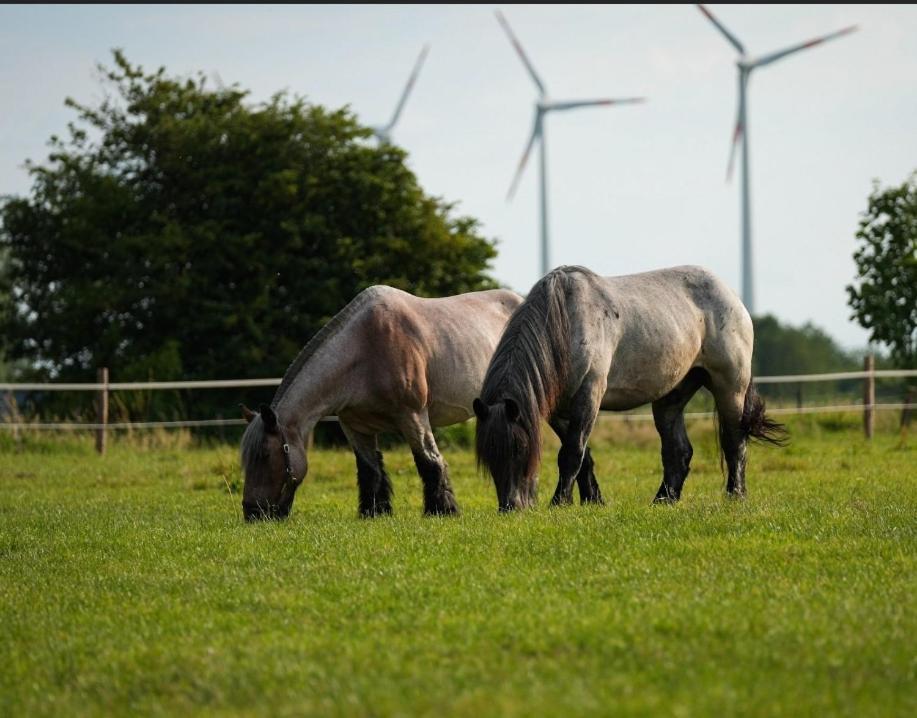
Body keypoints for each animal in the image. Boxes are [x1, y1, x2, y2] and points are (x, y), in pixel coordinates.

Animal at [238, 286, 524, 524]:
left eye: (265, 455)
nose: (252, 513)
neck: (365, 349)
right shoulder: (355, 426)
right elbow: (369, 470)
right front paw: (374, 512)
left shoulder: (413, 416)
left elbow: (429, 461)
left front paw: (442, 510)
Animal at [476, 268, 784, 516]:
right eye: (488, 454)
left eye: (520, 449)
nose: (508, 507)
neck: (565, 322)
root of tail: (730, 294)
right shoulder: (558, 410)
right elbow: (582, 456)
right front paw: (592, 501)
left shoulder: (589, 394)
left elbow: (572, 453)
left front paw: (559, 502)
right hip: (671, 397)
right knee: (678, 451)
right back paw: (663, 500)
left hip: (730, 386)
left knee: (734, 441)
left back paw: (735, 495)